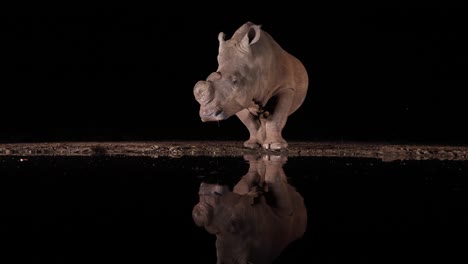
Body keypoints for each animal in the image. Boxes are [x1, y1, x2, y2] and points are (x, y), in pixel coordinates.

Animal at [192, 21, 308, 150]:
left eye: (235, 81)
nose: (208, 115)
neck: (255, 64)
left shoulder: (285, 88)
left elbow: (276, 117)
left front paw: (275, 146)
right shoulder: (235, 100)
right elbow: (250, 122)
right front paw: (253, 145)